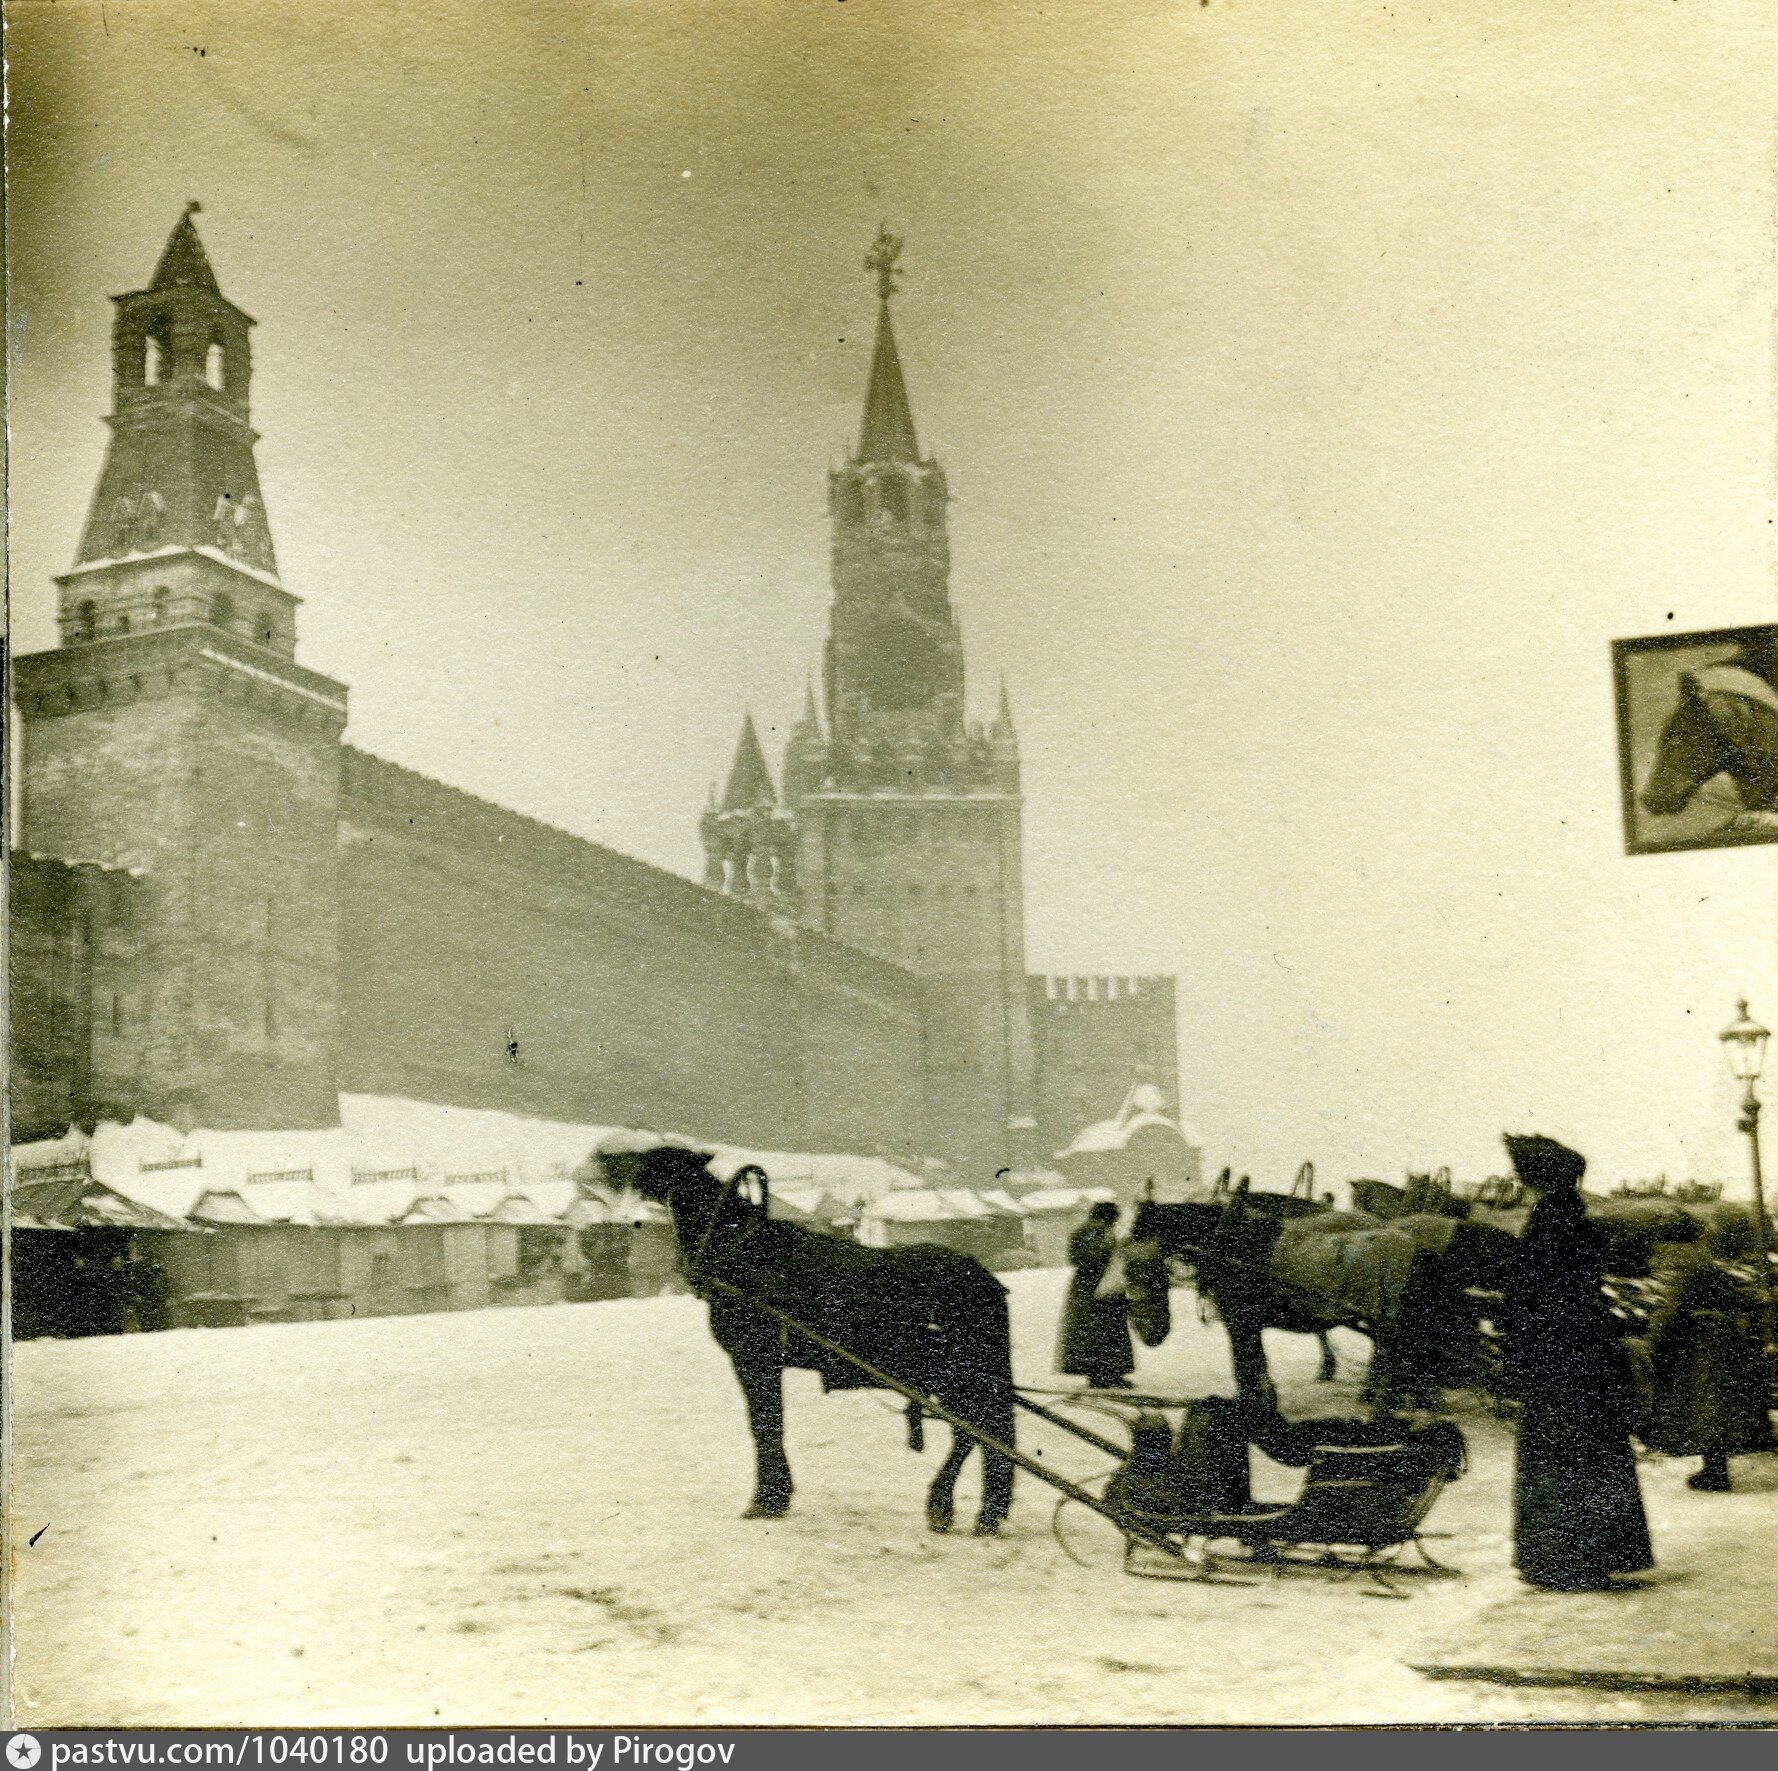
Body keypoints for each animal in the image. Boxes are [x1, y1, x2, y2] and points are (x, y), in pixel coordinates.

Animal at [595, 1141, 1016, 1536]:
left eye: (651, 1157)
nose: (602, 1159)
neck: (738, 1251)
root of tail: (986, 1280)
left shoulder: (754, 1358)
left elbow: (765, 1425)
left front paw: (766, 1499)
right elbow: (770, 1424)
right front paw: (776, 1496)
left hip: (954, 1376)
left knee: (973, 1432)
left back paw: (948, 1507)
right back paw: (982, 1513)